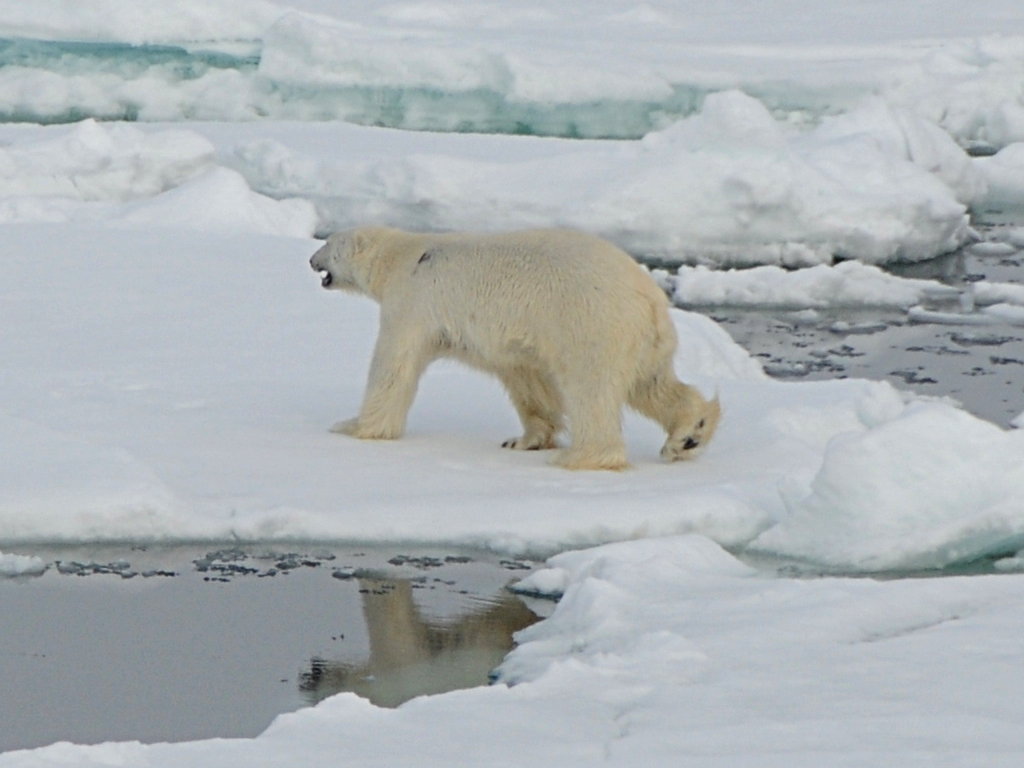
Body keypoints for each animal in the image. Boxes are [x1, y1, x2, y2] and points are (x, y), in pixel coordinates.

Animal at [309, 225, 720, 473]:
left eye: (326, 244)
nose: (310, 260)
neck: (404, 256)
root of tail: (648, 297)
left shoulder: (413, 302)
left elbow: (393, 367)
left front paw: (353, 426)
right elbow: (526, 378)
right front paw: (523, 440)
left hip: (590, 323)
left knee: (592, 390)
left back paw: (584, 455)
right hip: (645, 339)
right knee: (653, 383)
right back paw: (689, 434)